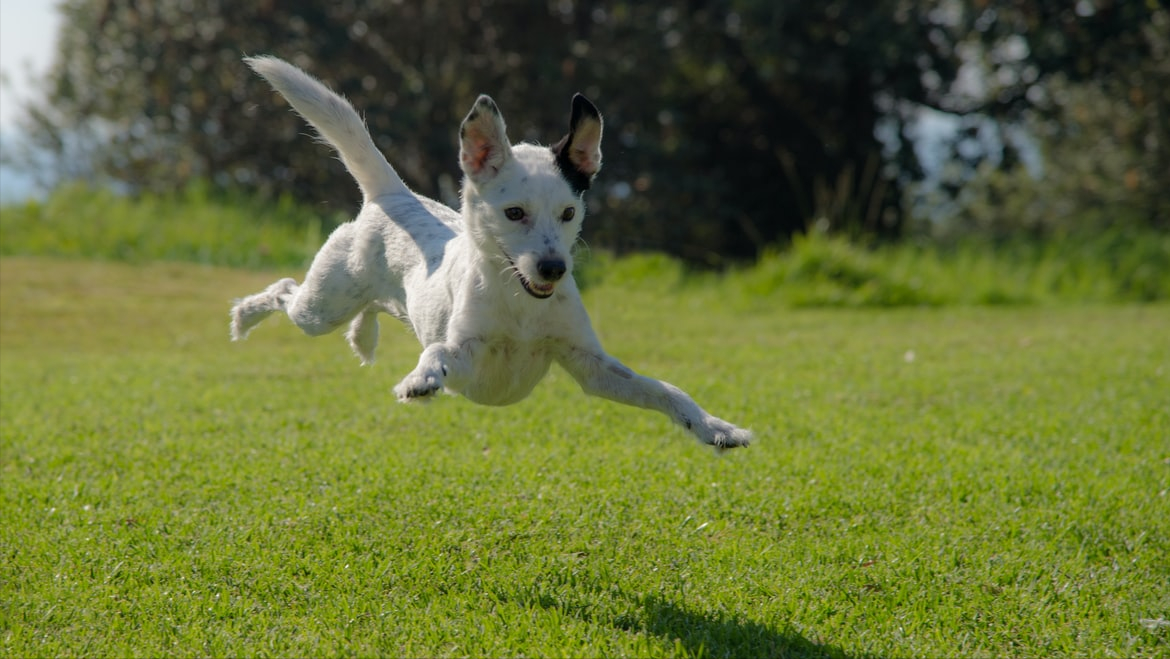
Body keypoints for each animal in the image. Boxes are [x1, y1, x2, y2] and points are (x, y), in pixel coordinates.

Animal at [232, 56, 753, 451]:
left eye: (569, 213)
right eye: (514, 212)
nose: (553, 268)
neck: (521, 305)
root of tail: (393, 195)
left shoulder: (592, 366)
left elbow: (666, 390)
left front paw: (715, 428)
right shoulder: (468, 356)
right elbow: (438, 352)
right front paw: (421, 379)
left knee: (370, 308)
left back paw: (363, 336)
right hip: (321, 307)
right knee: (285, 291)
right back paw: (244, 317)